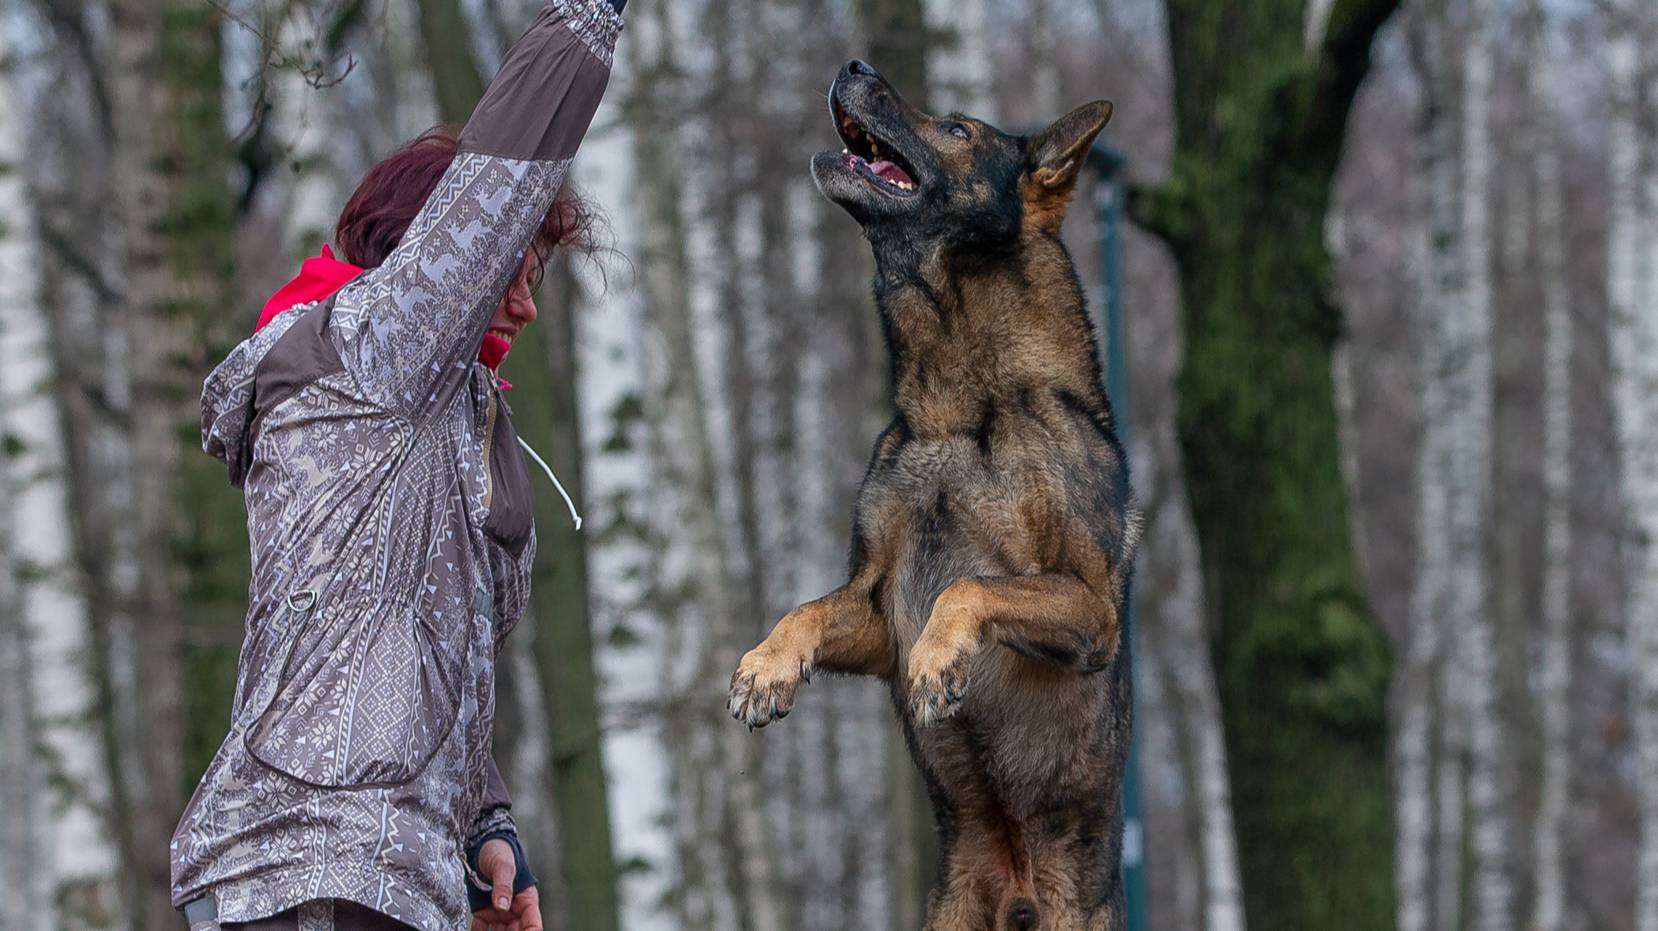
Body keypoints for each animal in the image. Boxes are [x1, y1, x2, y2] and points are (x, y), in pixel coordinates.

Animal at [729, 61, 1140, 921]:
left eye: (958, 130)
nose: (855, 66)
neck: (957, 409)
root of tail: (1020, 892)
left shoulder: (1090, 610)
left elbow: (972, 585)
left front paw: (940, 658)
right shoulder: (876, 606)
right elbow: (808, 608)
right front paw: (768, 665)